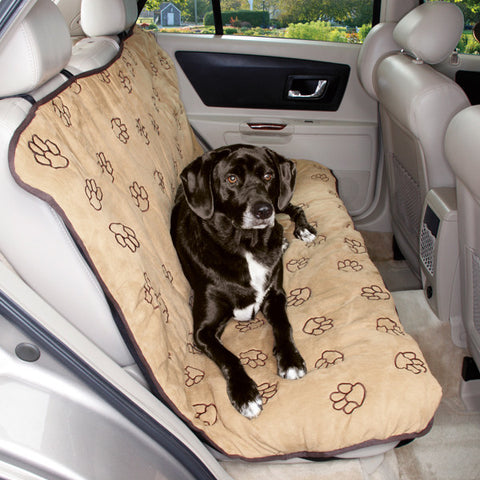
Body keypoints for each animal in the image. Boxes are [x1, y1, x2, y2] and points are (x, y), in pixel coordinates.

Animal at [171, 144, 316, 418]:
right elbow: (229, 357)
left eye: (268, 176)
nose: (264, 211)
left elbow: (284, 326)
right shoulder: (202, 331)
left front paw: (291, 359)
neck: (246, 244)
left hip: (280, 202)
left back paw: (301, 230)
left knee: (293, 207)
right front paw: (245, 394)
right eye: (231, 179)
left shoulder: (276, 295)